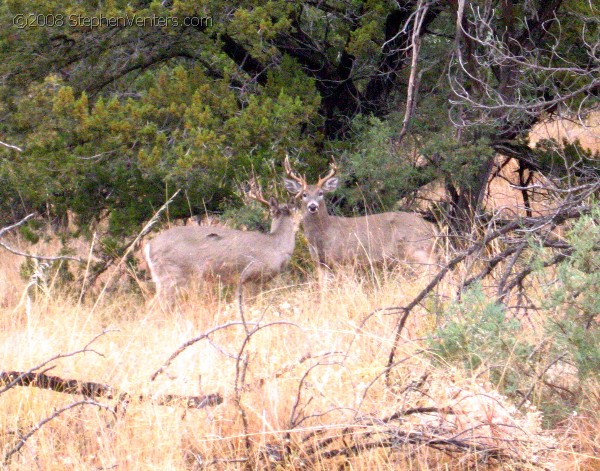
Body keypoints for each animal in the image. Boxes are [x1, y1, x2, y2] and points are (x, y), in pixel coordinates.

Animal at [284, 157, 438, 276]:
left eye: (321, 193)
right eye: (304, 195)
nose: (312, 206)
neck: (323, 234)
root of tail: (432, 228)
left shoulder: (343, 259)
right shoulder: (320, 263)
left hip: (417, 249)